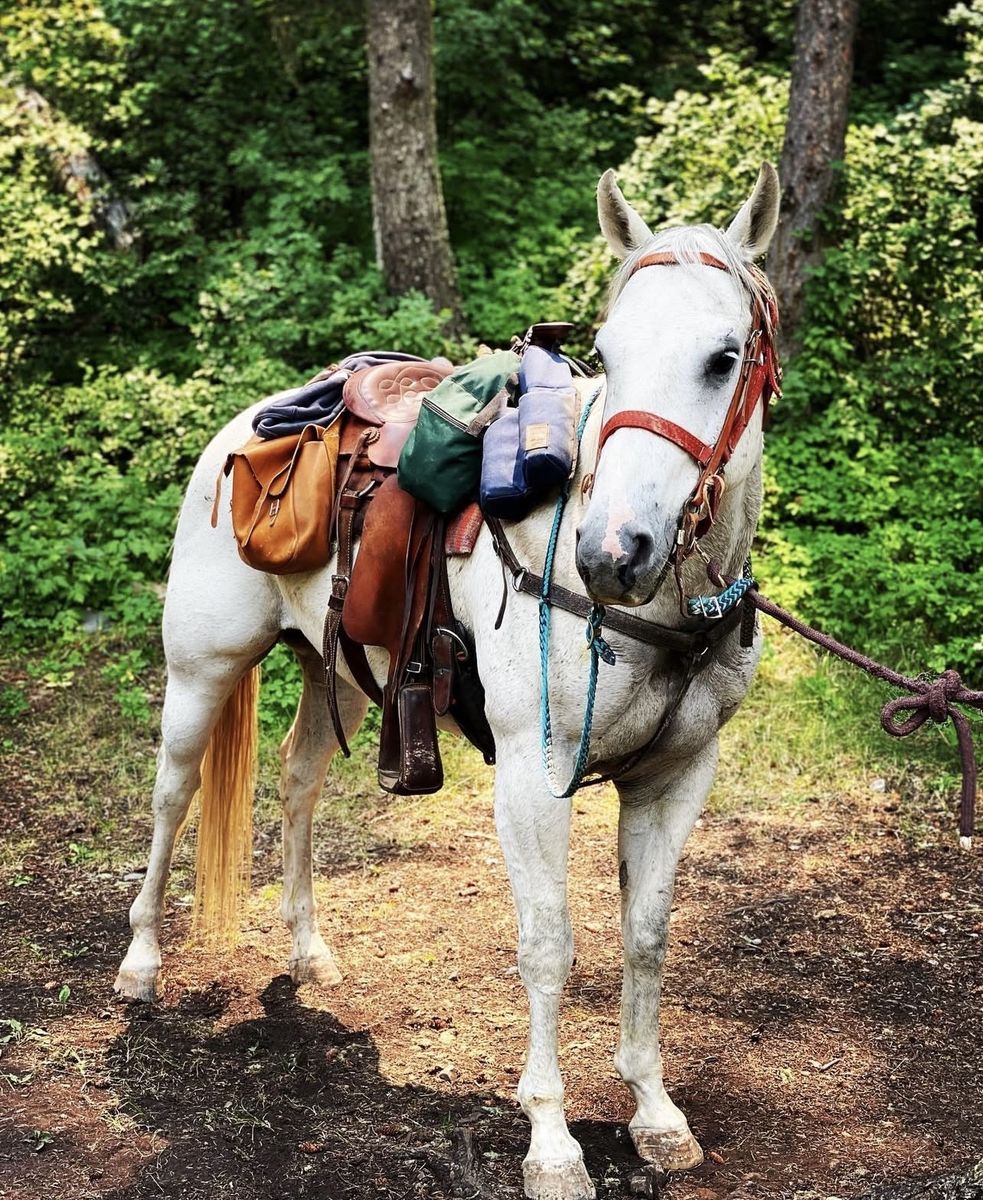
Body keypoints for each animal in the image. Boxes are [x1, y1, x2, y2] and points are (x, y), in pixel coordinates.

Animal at [114, 162, 782, 1200]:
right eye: (605, 351)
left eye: (722, 358)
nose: (610, 553)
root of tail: (249, 421)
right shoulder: (532, 780)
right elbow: (549, 945)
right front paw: (551, 1144)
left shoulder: (676, 778)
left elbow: (646, 934)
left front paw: (654, 1114)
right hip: (201, 674)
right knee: (170, 798)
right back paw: (141, 964)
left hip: (341, 668)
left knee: (297, 784)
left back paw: (309, 952)